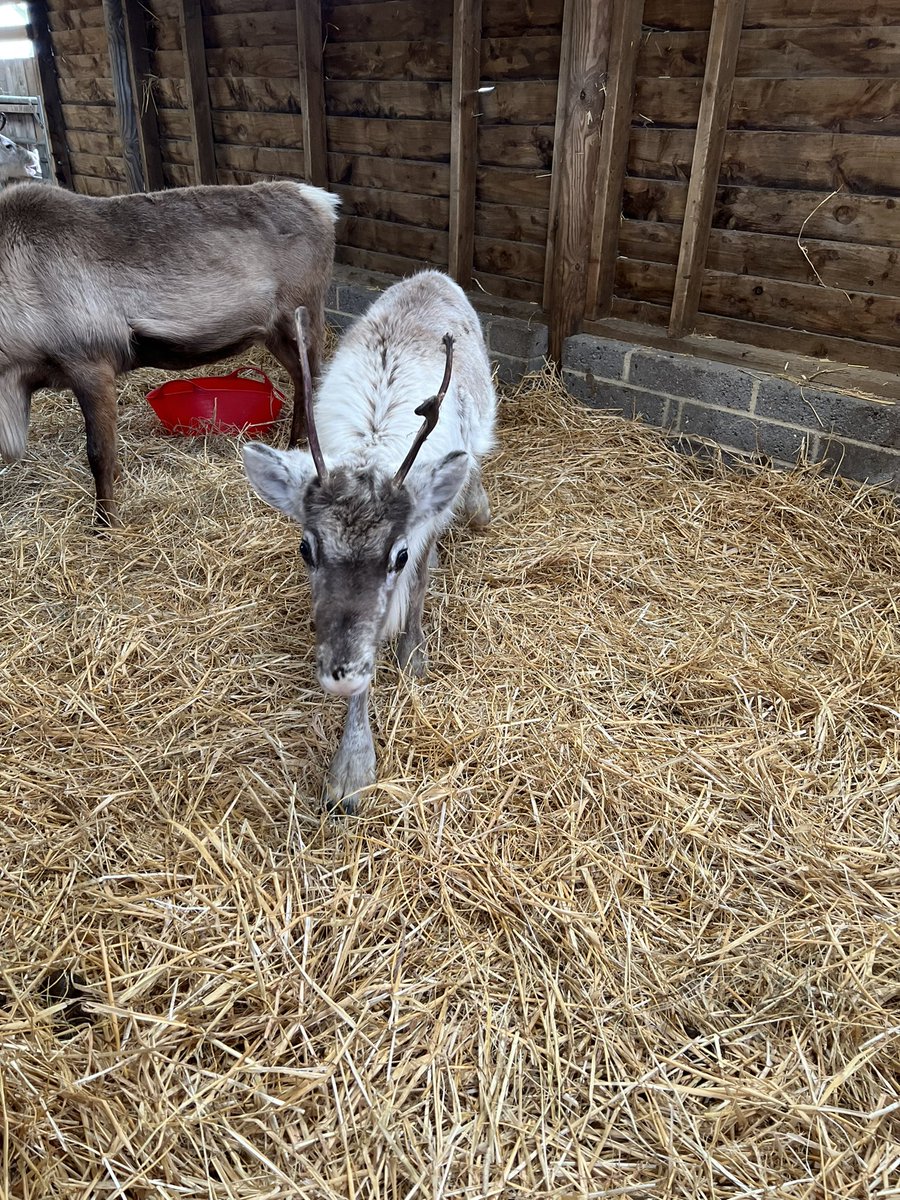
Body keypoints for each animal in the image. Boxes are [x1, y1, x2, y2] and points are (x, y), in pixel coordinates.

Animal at [0, 179, 339, 527]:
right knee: (300, 381)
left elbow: (98, 453)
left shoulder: (89, 363)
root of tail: (322, 202)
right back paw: (293, 443)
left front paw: (106, 523)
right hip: (274, 333)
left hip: (304, 316)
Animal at [241, 270, 497, 814]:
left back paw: (479, 509)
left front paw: (412, 656)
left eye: (398, 554)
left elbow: (416, 592)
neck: (373, 446)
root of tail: (432, 276)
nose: (341, 674)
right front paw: (351, 771)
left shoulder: (424, 526)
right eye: (306, 548)